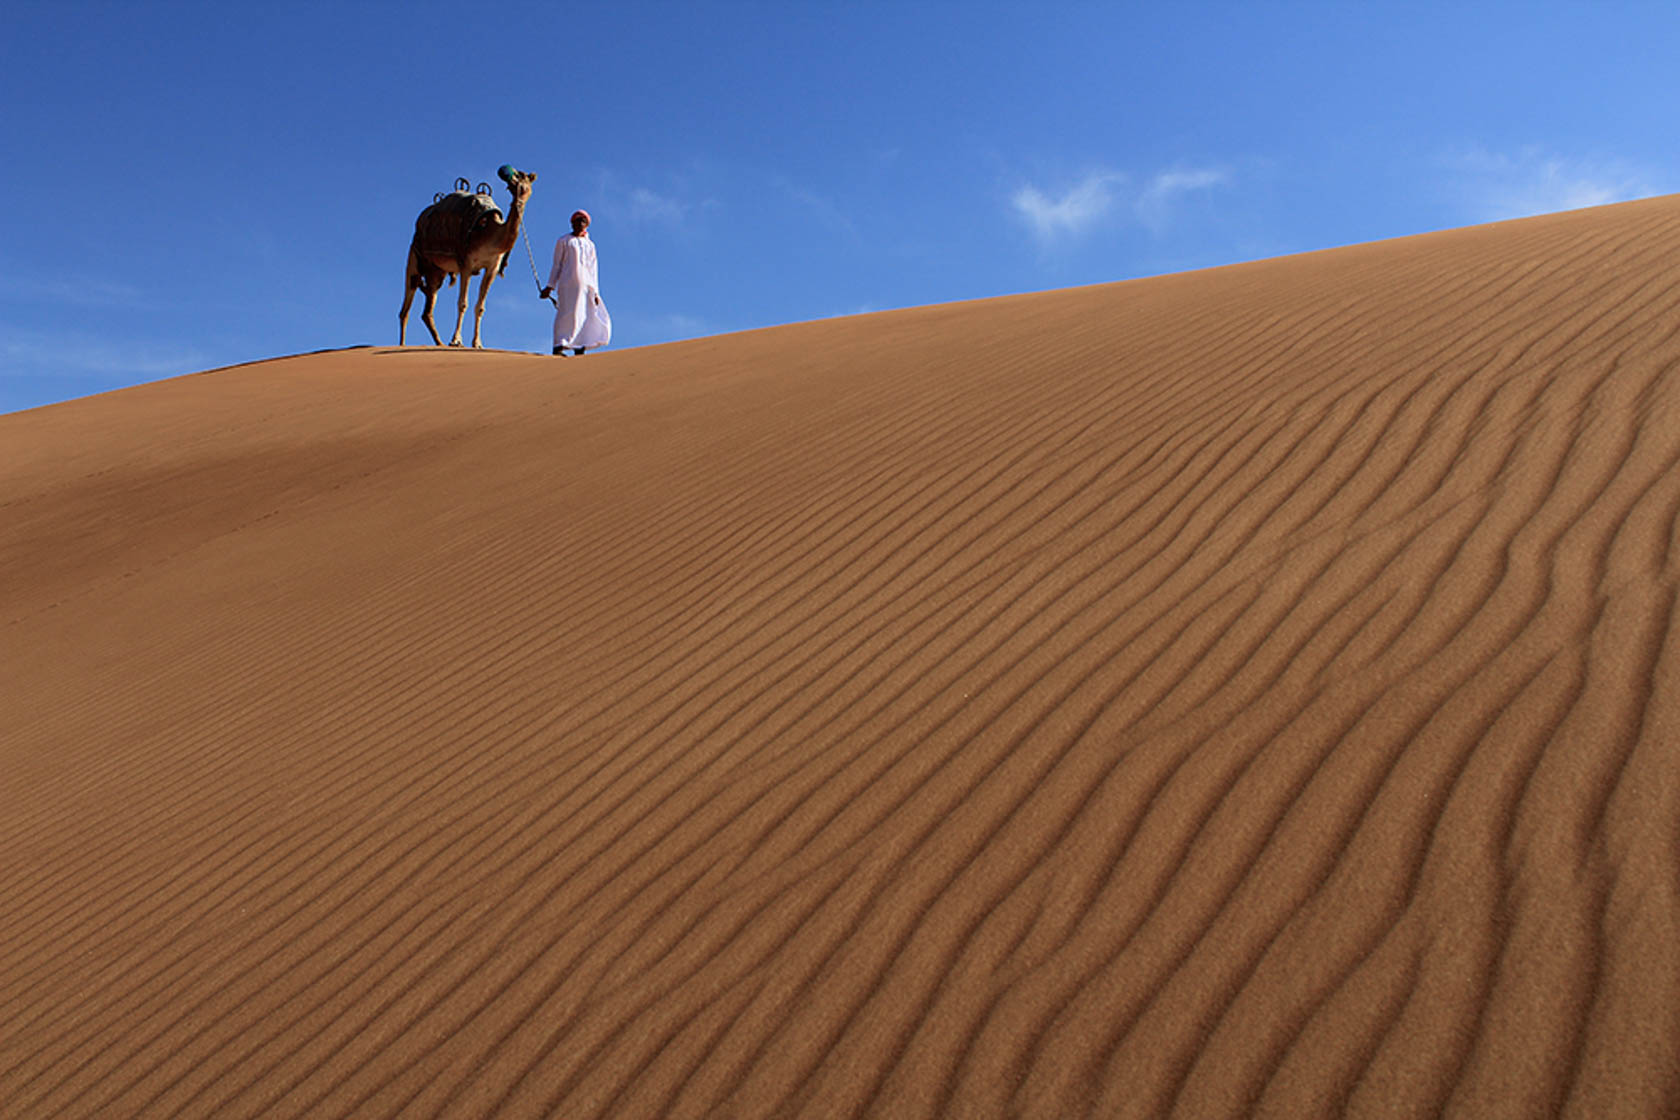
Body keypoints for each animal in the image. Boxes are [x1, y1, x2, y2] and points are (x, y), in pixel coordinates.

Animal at [396, 165, 534, 345]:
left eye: (524, 177)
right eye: (517, 174)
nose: (509, 176)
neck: (490, 232)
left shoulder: (492, 267)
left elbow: (480, 307)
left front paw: (477, 343)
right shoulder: (466, 263)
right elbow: (463, 303)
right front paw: (456, 340)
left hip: (436, 272)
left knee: (427, 310)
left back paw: (439, 344)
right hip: (414, 258)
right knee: (405, 309)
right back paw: (402, 344)